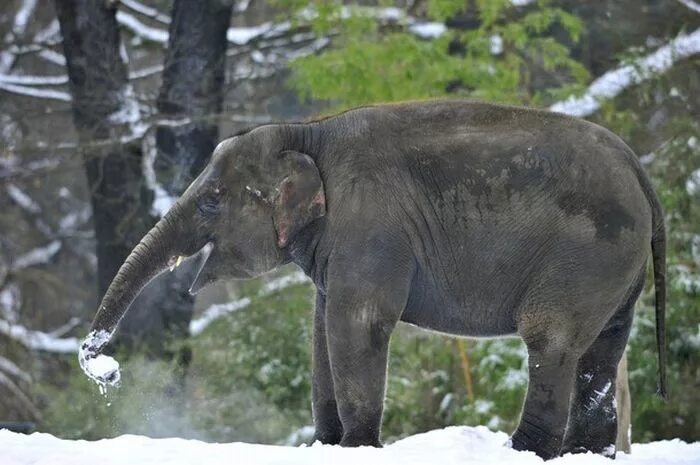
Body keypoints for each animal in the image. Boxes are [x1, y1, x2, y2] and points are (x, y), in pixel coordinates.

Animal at [79, 99, 664, 458]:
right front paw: (325, 446)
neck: (309, 131)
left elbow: (356, 322)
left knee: (551, 338)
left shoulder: (372, 225)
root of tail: (640, 170)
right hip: (616, 265)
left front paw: (355, 447)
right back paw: (586, 453)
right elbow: (321, 330)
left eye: (210, 201)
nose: (107, 371)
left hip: (588, 253)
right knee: (604, 349)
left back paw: (520, 451)